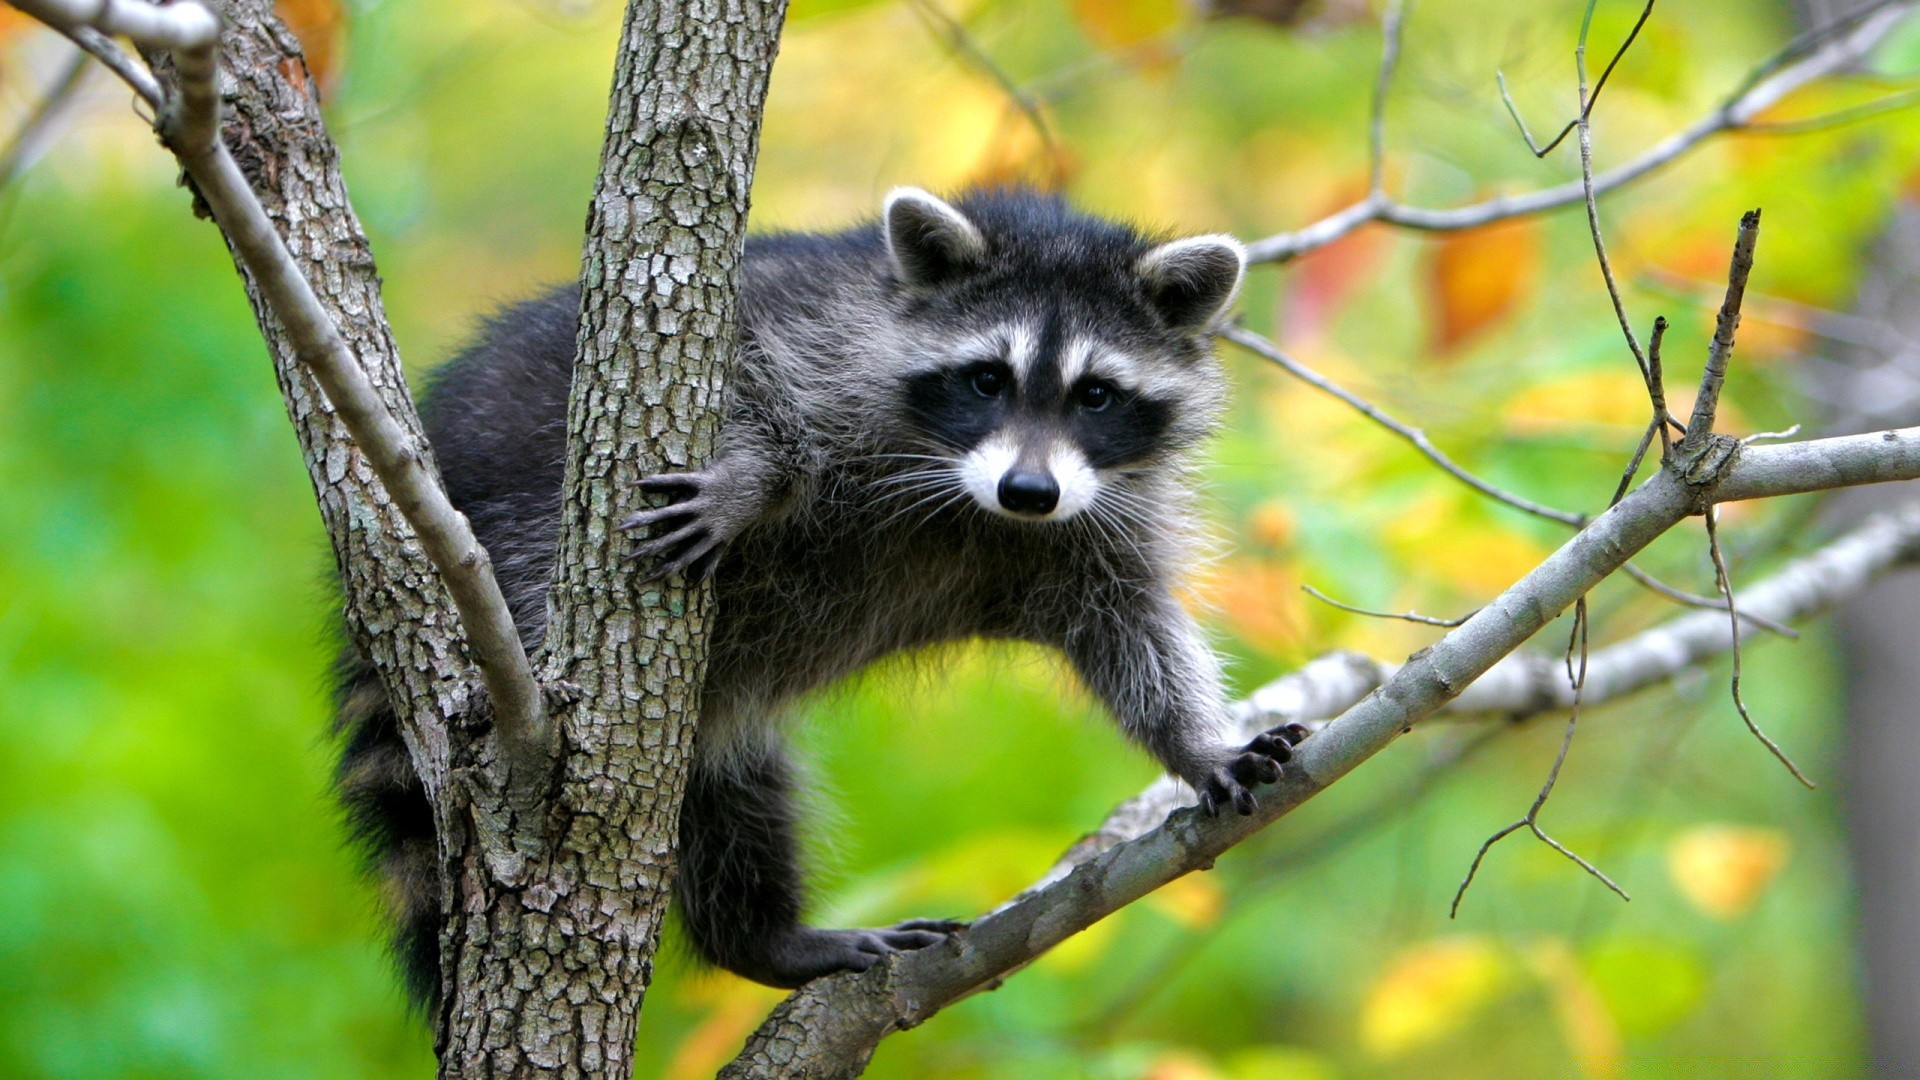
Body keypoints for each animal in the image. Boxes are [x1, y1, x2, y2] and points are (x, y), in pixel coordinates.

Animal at [341, 184, 1305, 999]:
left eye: (1097, 395)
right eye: (986, 378)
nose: (1029, 491)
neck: (972, 501)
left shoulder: (1096, 522)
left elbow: (1131, 632)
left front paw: (1197, 744)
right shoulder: (815, 333)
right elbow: (752, 382)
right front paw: (749, 479)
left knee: (731, 795)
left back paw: (761, 938)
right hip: (520, 526)